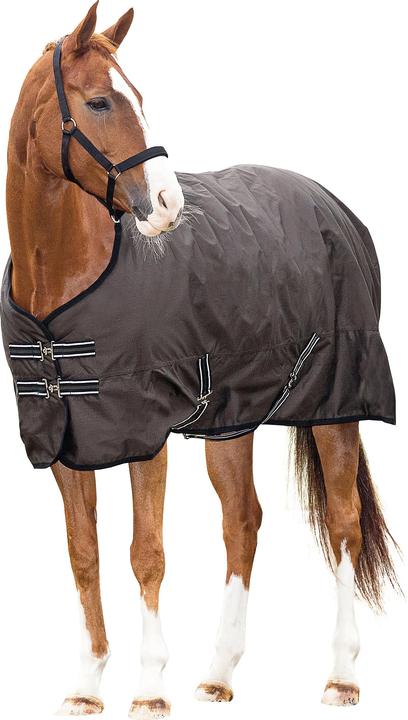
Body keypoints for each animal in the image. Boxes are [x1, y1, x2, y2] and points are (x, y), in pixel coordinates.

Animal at [3, 3, 399, 717]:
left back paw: (341, 676)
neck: (63, 289)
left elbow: (147, 553)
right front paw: (86, 684)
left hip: (337, 406)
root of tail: (332, 204)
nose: (168, 207)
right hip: (231, 419)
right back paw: (218, 674)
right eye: (100, 101)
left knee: (345, 526)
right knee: (243, 521)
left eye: (139, 97)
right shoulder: (65, 440)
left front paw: (149, 687)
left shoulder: (144, 435)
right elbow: (84, 553)